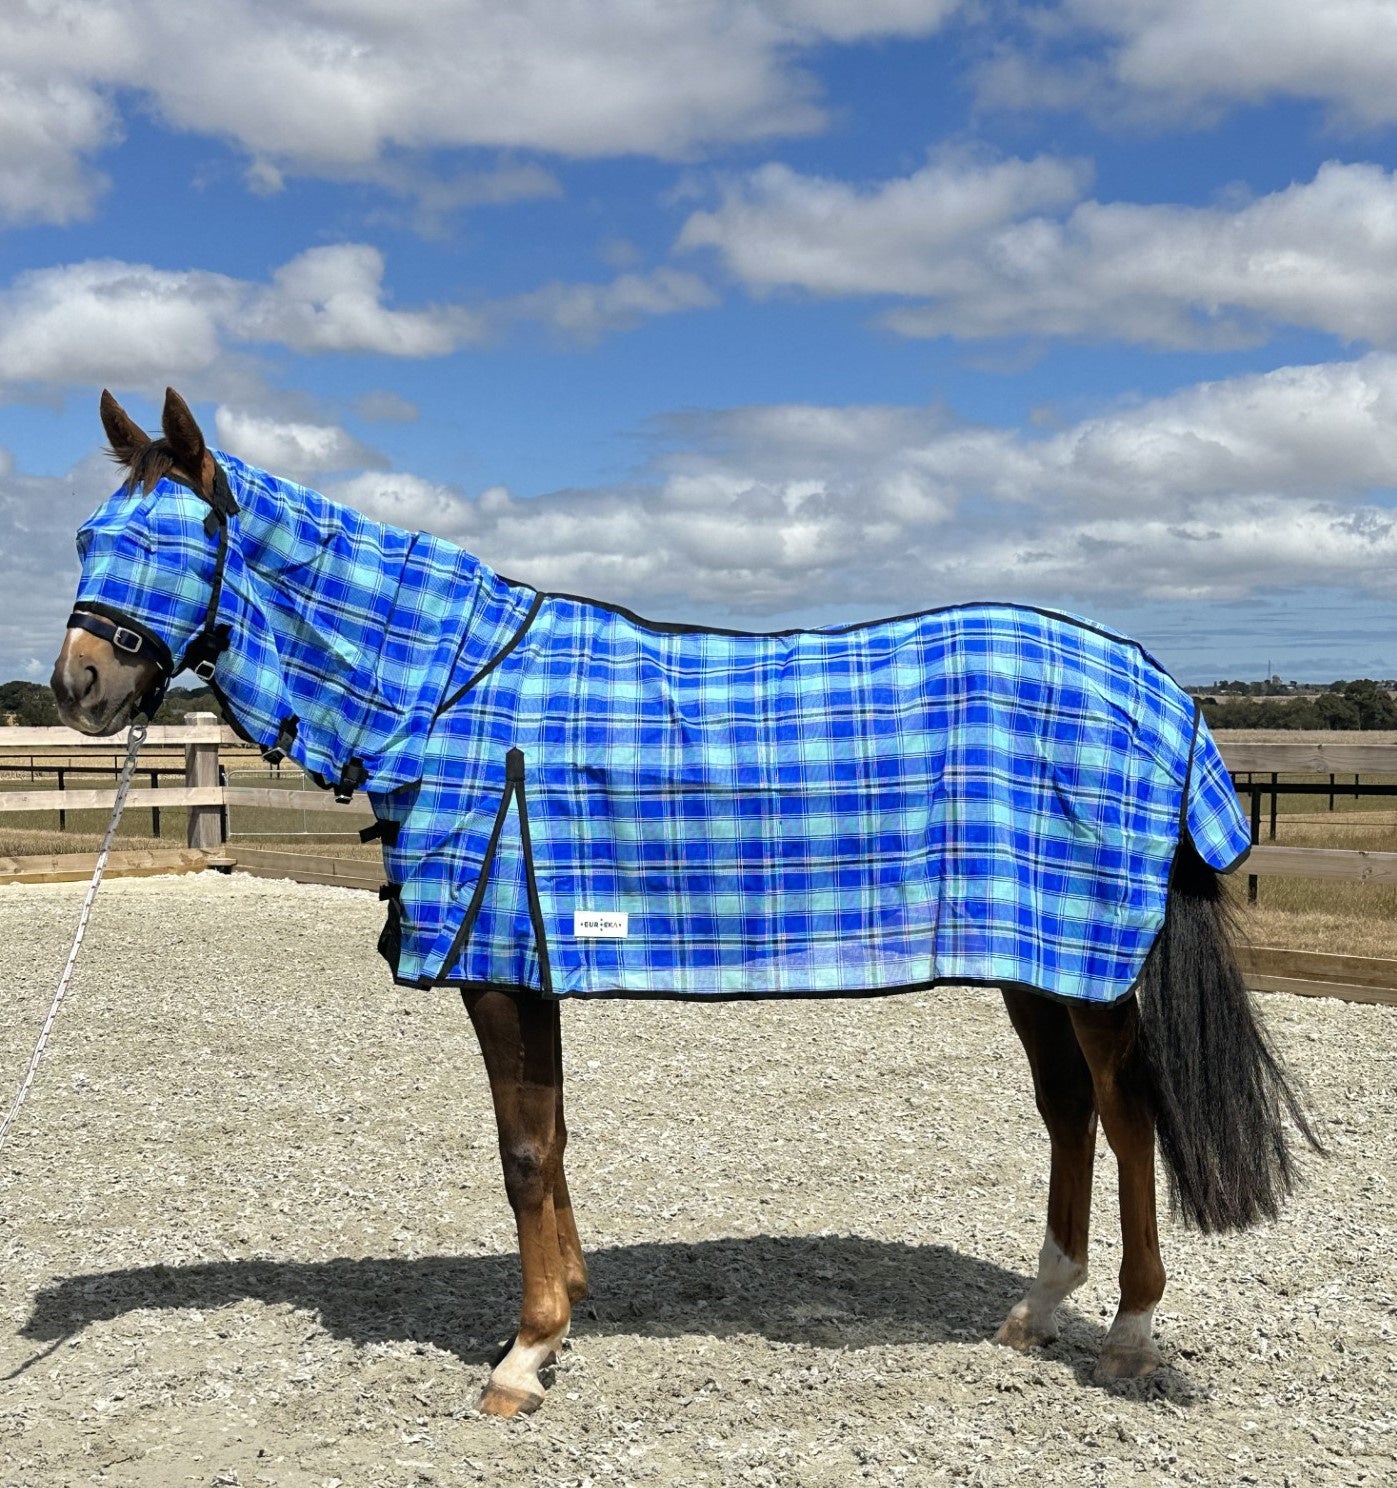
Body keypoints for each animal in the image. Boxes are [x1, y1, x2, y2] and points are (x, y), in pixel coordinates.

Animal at [51, 387, 1320, 1417]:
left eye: (171, 540)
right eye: (89, 535)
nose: (79, 686)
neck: (450, 690)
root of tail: (1158, 690)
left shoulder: (498, 965)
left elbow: (521, 1150)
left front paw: (523, 1356)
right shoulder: (532, 957)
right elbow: (549, 1138)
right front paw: (562, 1307)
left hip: (1094, 968)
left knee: (1125, 1115)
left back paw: (1127, 1334)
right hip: (1032, 957)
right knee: (1066, 1114)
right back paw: (1037, 1310)